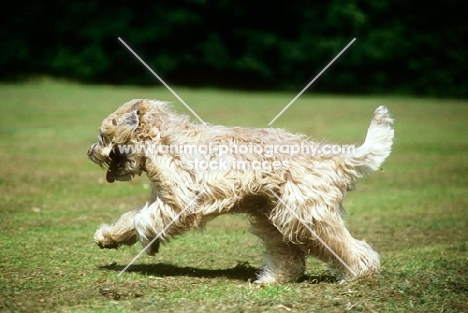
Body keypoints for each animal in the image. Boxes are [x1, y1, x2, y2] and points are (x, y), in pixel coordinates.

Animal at [87, 100, 392, 282]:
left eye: (102, 135)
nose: (90, 152)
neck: (160, 139)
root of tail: (336, 158)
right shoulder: (162, 199)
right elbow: (131, 219)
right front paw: (108, 237)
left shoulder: (181, 201)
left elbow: (143, 221)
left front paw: (150, 242)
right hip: (274, 218)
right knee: (290, 257)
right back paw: (269, 280)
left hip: (306, 217)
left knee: (347, 248)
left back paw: (359, 274)